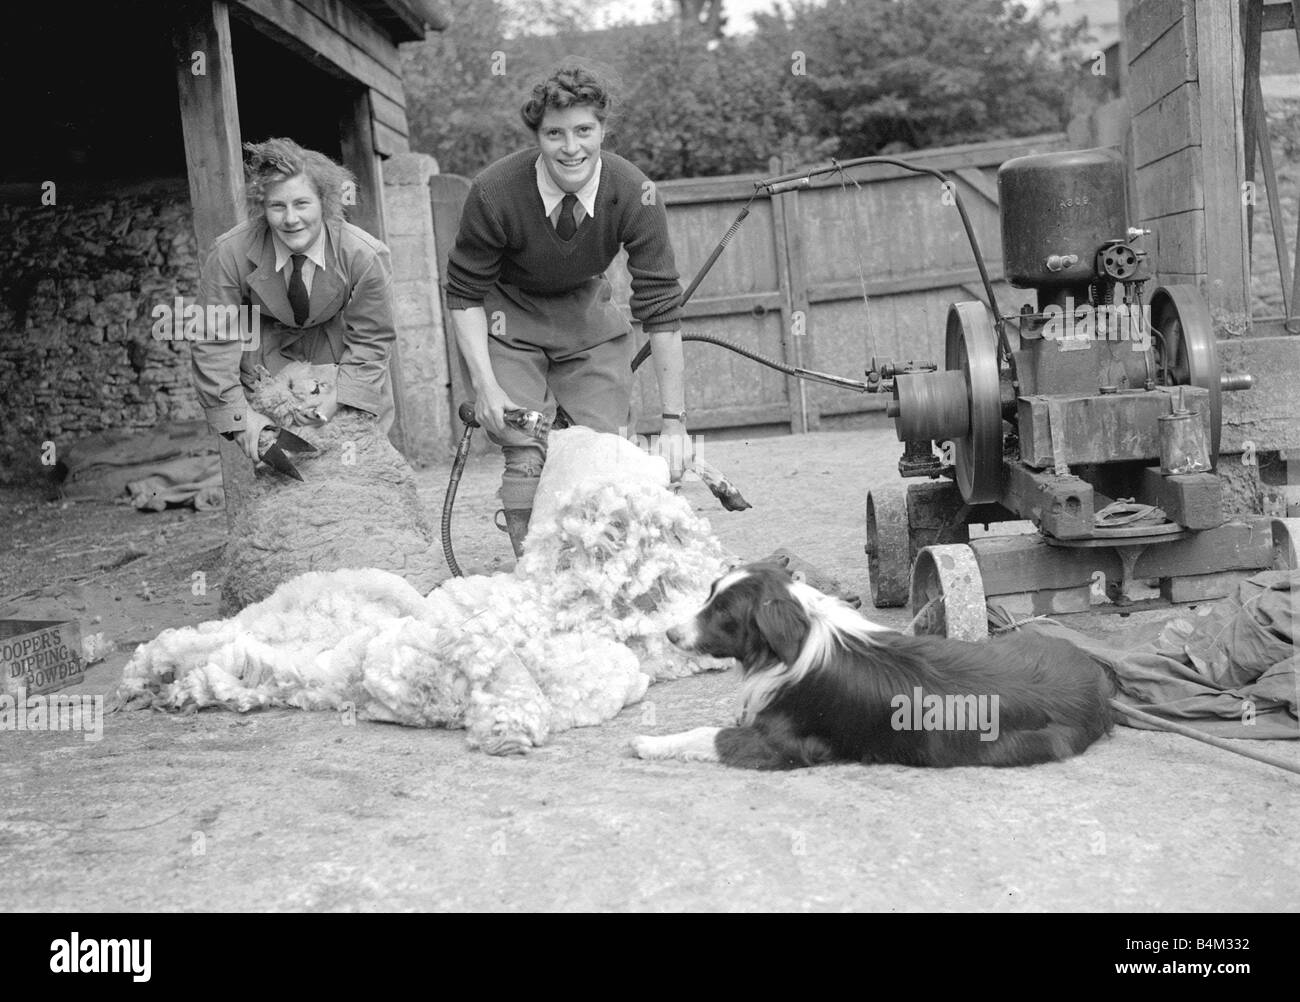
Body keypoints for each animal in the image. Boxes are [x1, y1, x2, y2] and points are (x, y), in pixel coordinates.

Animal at [634, 564, 1112, 769]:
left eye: (723, 612)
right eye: (709, 595)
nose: (670, 634)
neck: (796, 643)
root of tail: (1096, 679)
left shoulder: (787, 745)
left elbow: (708, 736)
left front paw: (648, 743)